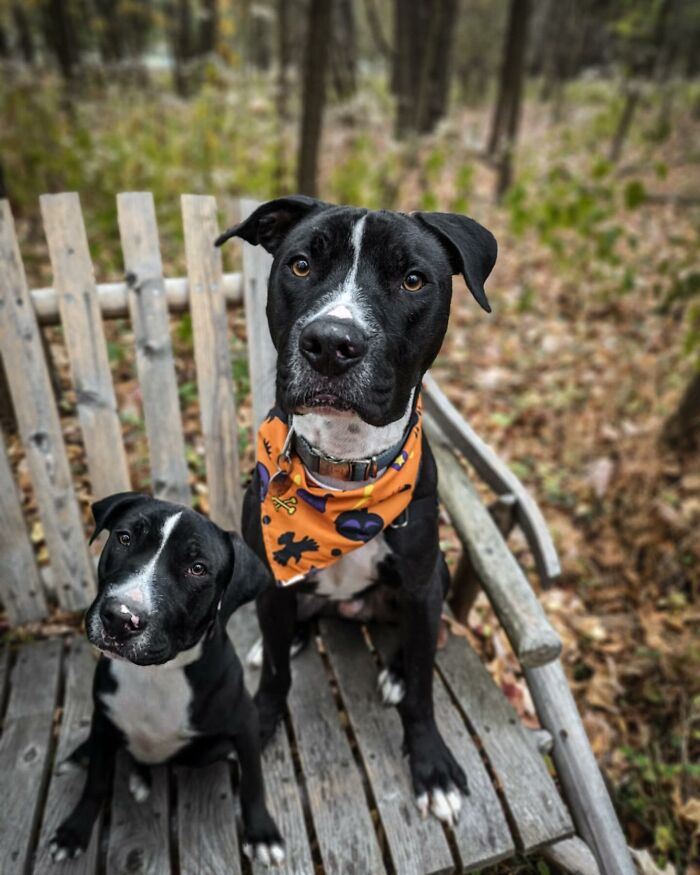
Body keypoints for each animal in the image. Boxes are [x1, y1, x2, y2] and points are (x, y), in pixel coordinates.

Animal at [49, 492, 286, 868]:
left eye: (198, 568)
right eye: (124, 538)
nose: (120, 619)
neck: (156, 675)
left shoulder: (245, 722)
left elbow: (253, 782)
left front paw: (262, 834)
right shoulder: (104, 717)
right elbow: (96, 782)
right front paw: (74, 830)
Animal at [219, 197, 498, 828]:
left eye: (413, 279)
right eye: (300, 265)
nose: (330, 342)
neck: (341, 467)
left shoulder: (420, 581)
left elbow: (421, 688)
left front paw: (430, 763)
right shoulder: (272, 569)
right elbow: (277, 675)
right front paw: (261, 720)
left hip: (438, 576)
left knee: (413, 641)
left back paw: (391, 667)